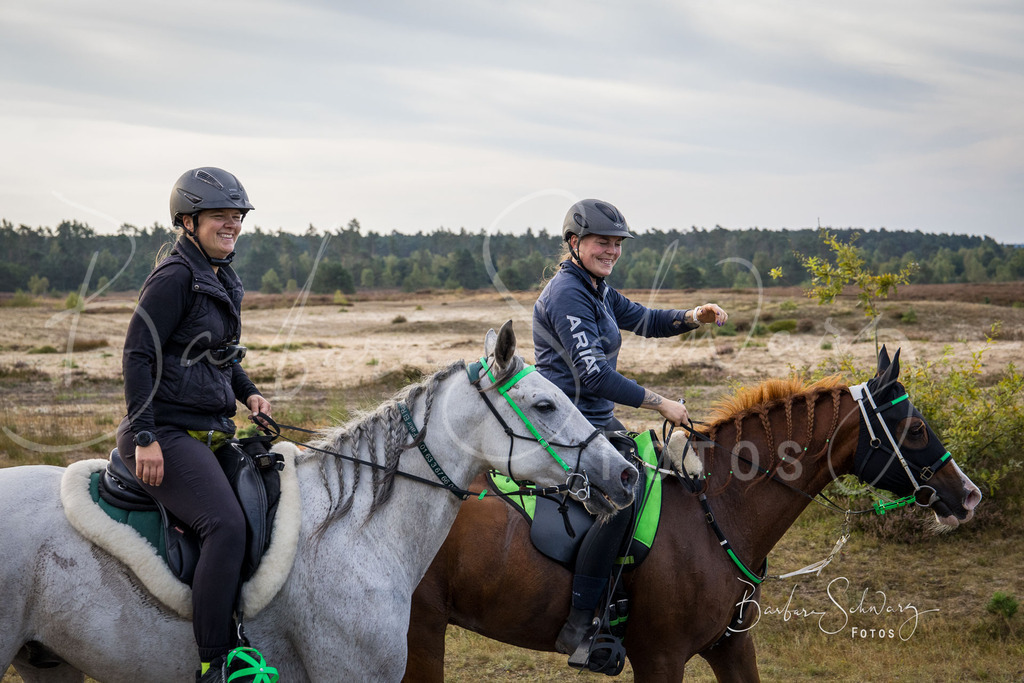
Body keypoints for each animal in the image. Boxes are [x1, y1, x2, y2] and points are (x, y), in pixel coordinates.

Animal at [404, 347, 983, 682]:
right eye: (916, 430)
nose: (970, 495)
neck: (717, 513)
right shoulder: (660, 659)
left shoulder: (731, 648)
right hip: (421, 632)